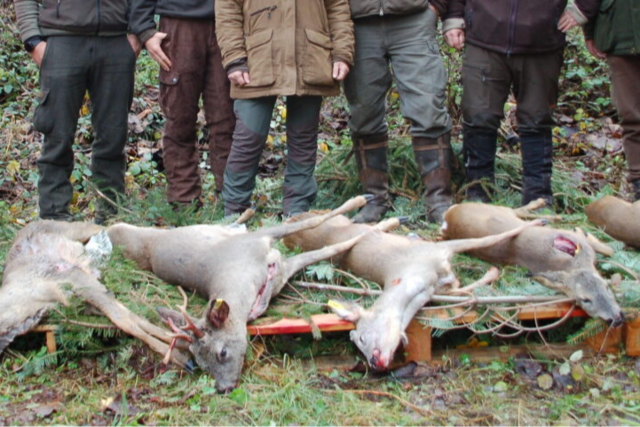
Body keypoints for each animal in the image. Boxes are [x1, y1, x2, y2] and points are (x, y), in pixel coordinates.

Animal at [0, 221, 189, 368]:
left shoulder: (71, 276)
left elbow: (125, 320)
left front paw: (179, 351)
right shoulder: (85, 303)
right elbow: (127, 319)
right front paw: (178, 346)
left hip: (77, 230)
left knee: (107, 225)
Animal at [106, 196, 370, 392]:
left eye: (222, 352)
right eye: (200, 362)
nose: (224, 388)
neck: (245, 280)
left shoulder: (259, 241)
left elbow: (314, 224)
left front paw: (360, 210)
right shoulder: (282, 270)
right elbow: (323, 249)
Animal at [282, 214, 544, 372]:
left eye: (362, 338)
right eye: (357, 344)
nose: (374, 362)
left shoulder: (436, 251)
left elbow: (492, 237)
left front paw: (536, 222)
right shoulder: (439, 285)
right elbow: (463, 290)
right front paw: (492, 272)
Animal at [442, 201, 624, 328]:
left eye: (606, 287)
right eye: (584, 299)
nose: (616, 319)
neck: (573, 262)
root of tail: (448, 216)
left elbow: (607, 250)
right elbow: (607, 249)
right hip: (495, 209)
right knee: (518, 210)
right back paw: (543, 208)